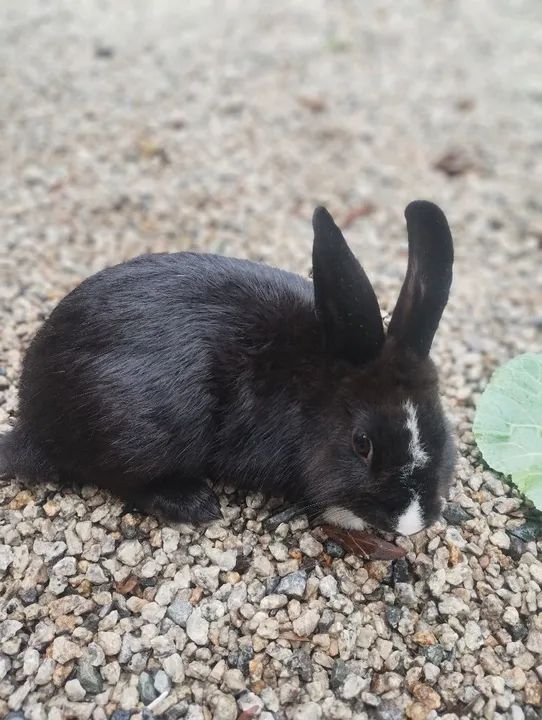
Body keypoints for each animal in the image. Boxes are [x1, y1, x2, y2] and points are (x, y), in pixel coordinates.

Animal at [0, 200, 456, 535]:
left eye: (442, 427)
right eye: (362, 444)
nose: (412, 523)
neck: (318, 388)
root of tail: (34, 427)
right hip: (144, 434)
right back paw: (195, 504)